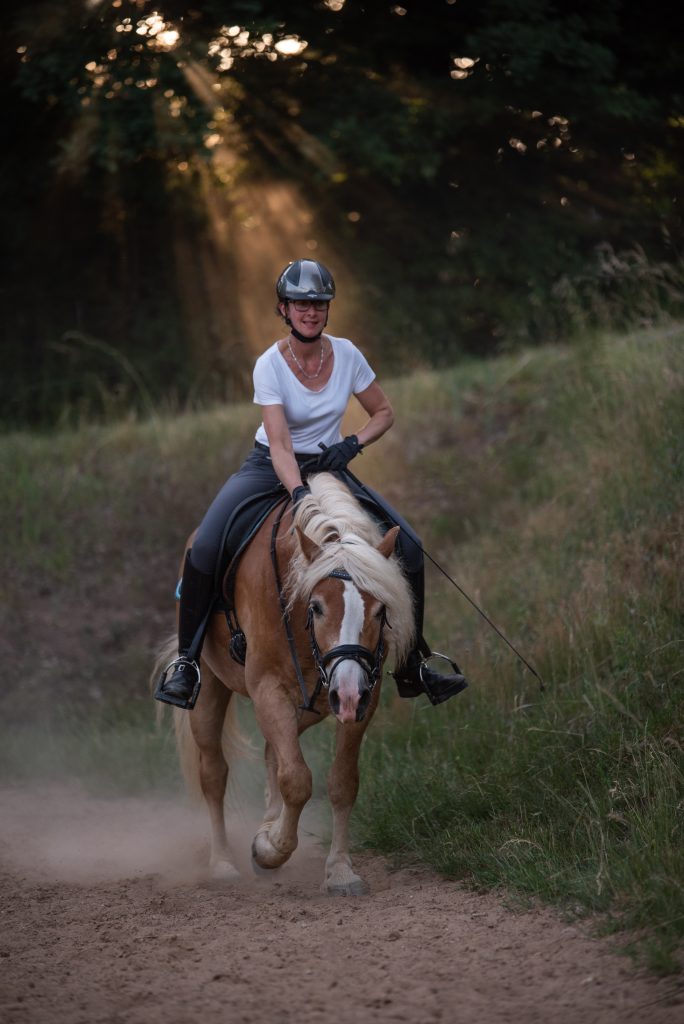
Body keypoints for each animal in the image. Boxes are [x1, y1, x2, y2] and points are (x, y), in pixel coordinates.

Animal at [154, 473, 411, 897]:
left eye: (379, 610)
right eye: (317, 606)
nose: (348, 693)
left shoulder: (362, 699)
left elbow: (342, 782)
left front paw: (340, 871)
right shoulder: (268, 689)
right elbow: (296, 780)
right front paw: (270, 850)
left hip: (313, 703)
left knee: (273, 753)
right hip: (212, 688)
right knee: (215, 774)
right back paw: (223, 863)